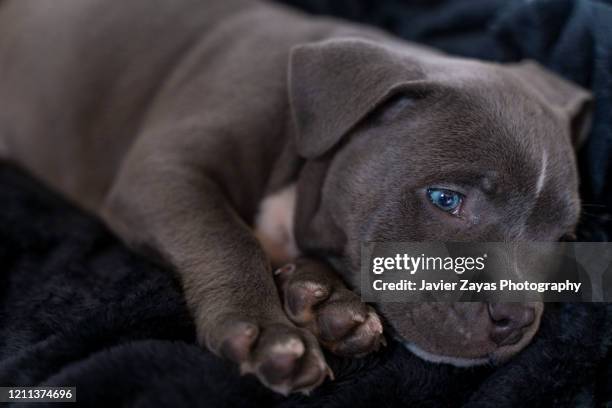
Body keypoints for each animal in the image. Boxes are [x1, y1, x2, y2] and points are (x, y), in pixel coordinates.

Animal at [0, 0, 592, 396]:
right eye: (446, 200)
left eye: (562, 238)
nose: (515, 318)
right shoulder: (163, 172)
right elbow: (227, 237)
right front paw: (266, 331)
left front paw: (328, 301)